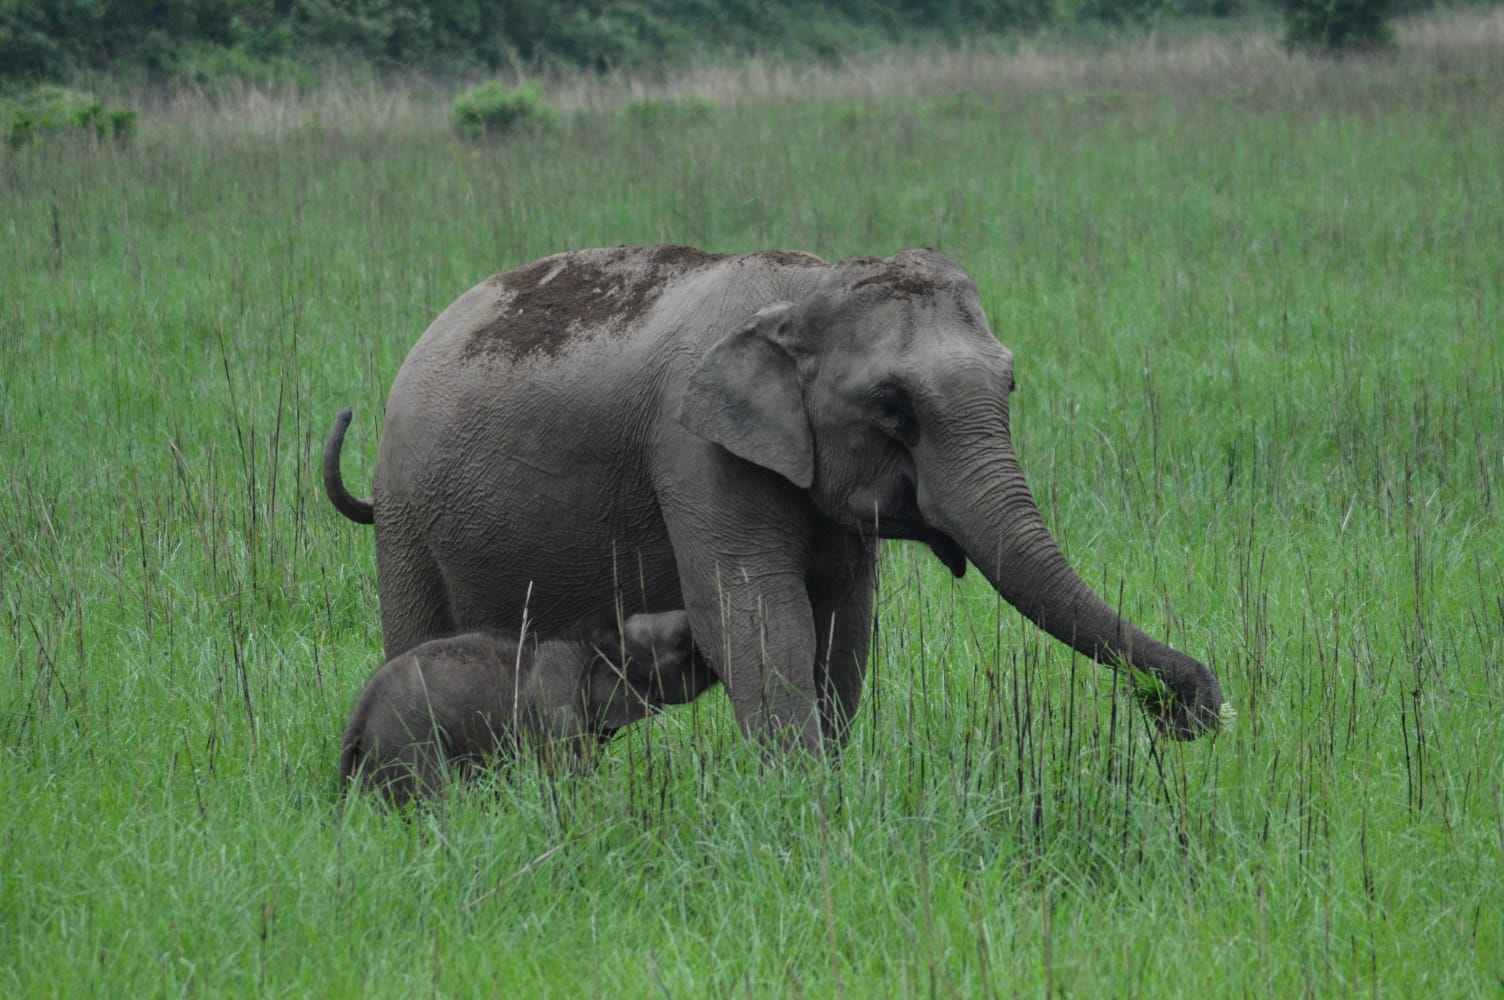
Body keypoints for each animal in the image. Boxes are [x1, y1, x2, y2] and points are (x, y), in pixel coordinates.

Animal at [324, 244, 1225, 755]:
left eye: (1010, 384)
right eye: (893, 407)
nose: (1192, 713)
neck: (803, 291)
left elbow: (844, 625)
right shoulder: (694, 448)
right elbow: (758, 618)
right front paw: (805, 795)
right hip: (407, 521)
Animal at [339, 610, 706, 804]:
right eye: (681, 644)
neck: (587, 642)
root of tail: (358, 716)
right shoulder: (556, 706)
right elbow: (568, 775)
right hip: (407, 739)